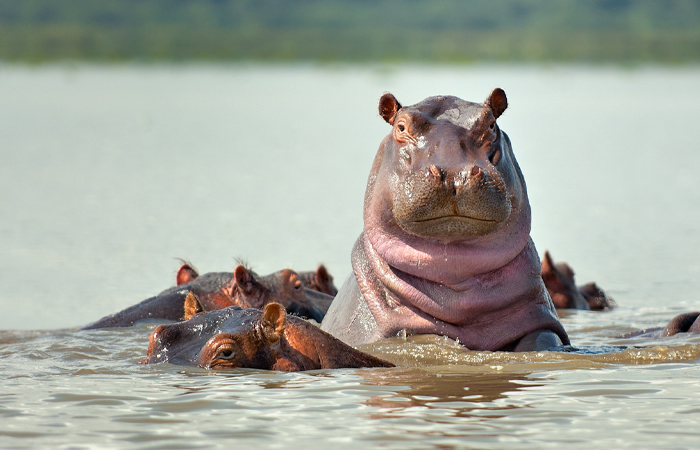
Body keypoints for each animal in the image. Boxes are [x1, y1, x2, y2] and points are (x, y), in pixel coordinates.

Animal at [320, 89, 569, 351]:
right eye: (401, 127)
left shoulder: (541, 319)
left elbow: (542, 339)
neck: (457, 279)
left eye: (491, 124)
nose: (454, 173)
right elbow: (434, 338)